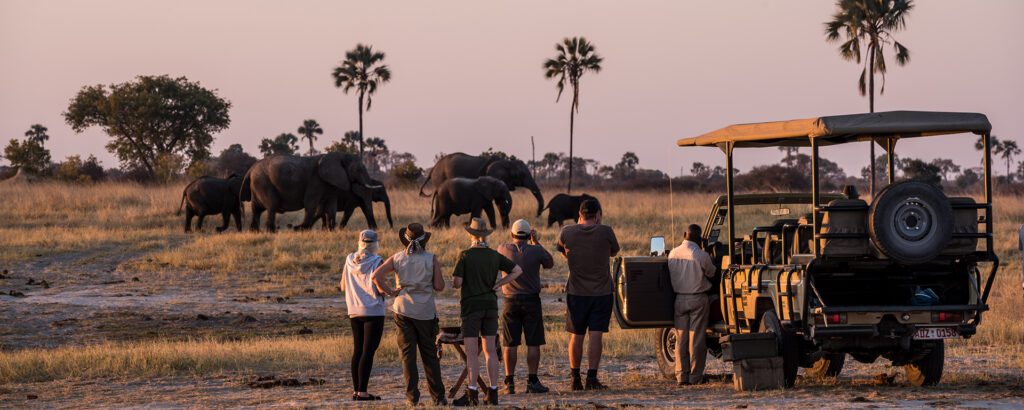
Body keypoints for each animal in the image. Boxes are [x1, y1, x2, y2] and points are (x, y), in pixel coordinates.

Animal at [239, 151, 380, 232]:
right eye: (359, 169)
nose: (375, 229)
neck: (337, 155)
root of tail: (250, 169)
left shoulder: (331, 184)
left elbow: (331, 206)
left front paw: (331, 230)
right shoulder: (316, 181)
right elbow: (310, 203)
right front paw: (301, 229)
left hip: (258, 184)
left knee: (256, 209)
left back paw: (255, 231)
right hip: (263, 183)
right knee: (272, 206)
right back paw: (271, 231)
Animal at [415, 152, 544, 217]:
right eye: (522, 175)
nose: (536, 215)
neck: (506, 162)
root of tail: (433, 169)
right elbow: (499, 201)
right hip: (440, 178)